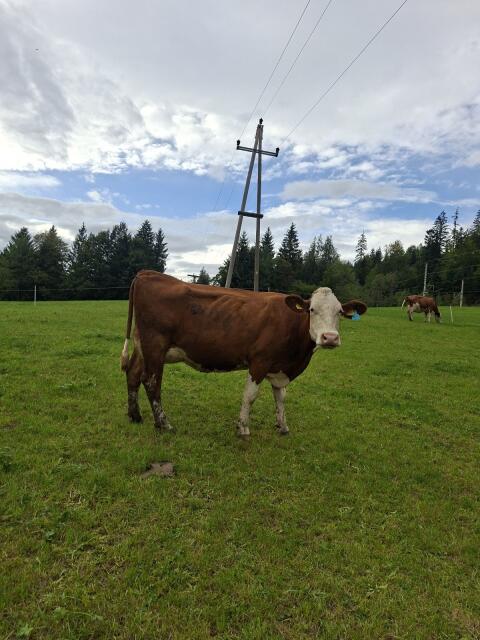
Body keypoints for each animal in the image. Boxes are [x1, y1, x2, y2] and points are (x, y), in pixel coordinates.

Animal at [120, 270, 367, 437]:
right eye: (312, 310)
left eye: (339, 312)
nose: (330, 338)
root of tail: (148, 274)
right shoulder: (260, 361)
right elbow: (250, 395)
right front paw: (243, 428)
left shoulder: (279, 368)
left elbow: (280, 397)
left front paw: (283, 426)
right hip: (155, 345)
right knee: (151, 382)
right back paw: (164, 424)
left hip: (143, 346)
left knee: (133, 374)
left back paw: (135, 416)